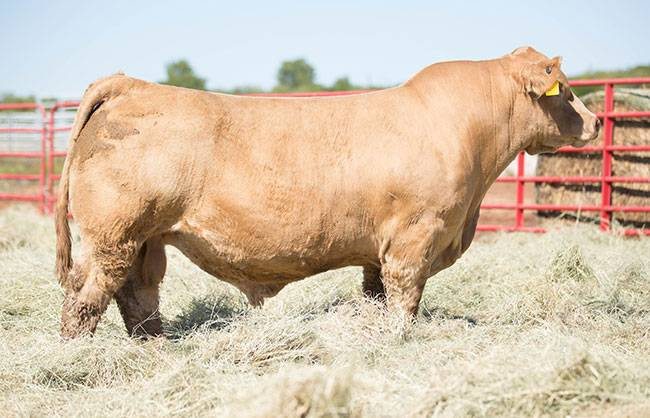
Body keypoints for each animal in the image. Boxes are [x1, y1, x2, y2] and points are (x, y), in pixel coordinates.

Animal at [55, 47, 600, 338]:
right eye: (567, 89)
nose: (595, 122)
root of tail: (131, 84)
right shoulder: (416, 236)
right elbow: (405, 297)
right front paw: (402, 339)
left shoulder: (379, 251)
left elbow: (376, 294)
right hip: (113, 235)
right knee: (85, 298)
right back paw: (79, 357)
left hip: (145, 239)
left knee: (137, 295)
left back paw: (157, 349)